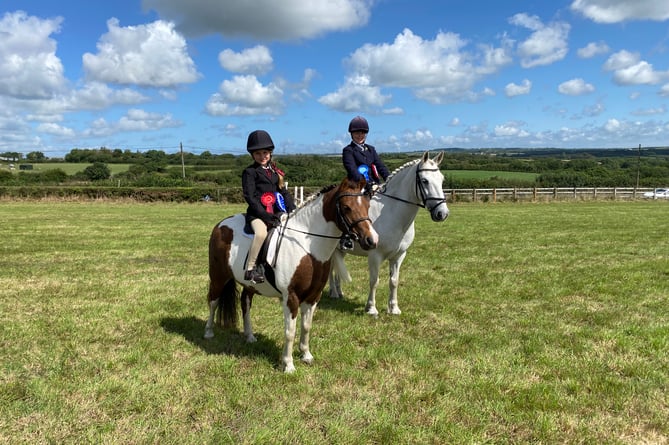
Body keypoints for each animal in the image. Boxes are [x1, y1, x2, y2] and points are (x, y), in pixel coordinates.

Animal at [205, 176, 376, 372]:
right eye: (347, 207)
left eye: (367, 205)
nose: (371, 240)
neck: (308, 248)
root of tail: (221, 224)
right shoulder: (291, 297)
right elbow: (290, 331)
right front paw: (288, 365)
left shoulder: (313, 296)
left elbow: (306, 326)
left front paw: (306, 355)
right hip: (218, 277)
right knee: (213, 301)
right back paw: (208, 332)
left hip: (249, 284)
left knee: (245, 303)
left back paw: (249, 336)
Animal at [328, 153, 448, 316]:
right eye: (425, 181)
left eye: (441, 179)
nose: (442, 213)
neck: (393, 213)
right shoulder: (375, 255)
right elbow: (374, 281)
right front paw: (371, 308)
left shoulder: (399, 255)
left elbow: (394, 281)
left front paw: (394, 308)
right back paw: (334, 293)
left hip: (341, 250)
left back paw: (339, 292)